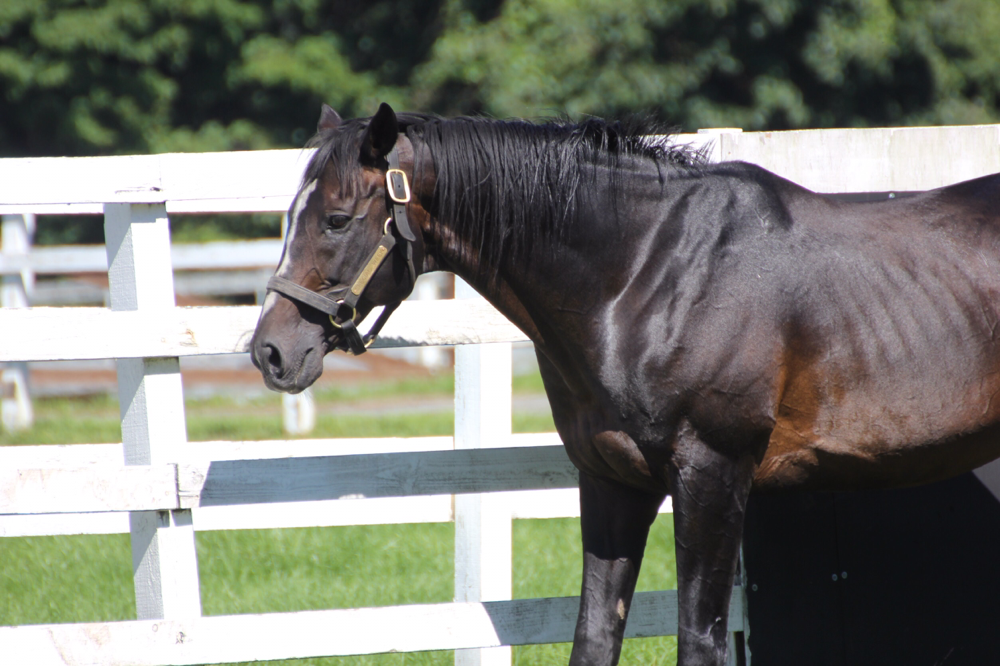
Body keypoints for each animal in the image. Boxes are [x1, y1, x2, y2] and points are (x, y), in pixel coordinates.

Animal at [250, 104, 1000, 664]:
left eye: (337, 219)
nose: (271, 352)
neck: (649, 273)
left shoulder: (712, 474)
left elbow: (699, 642)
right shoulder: (613, 480)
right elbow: (594, 635)